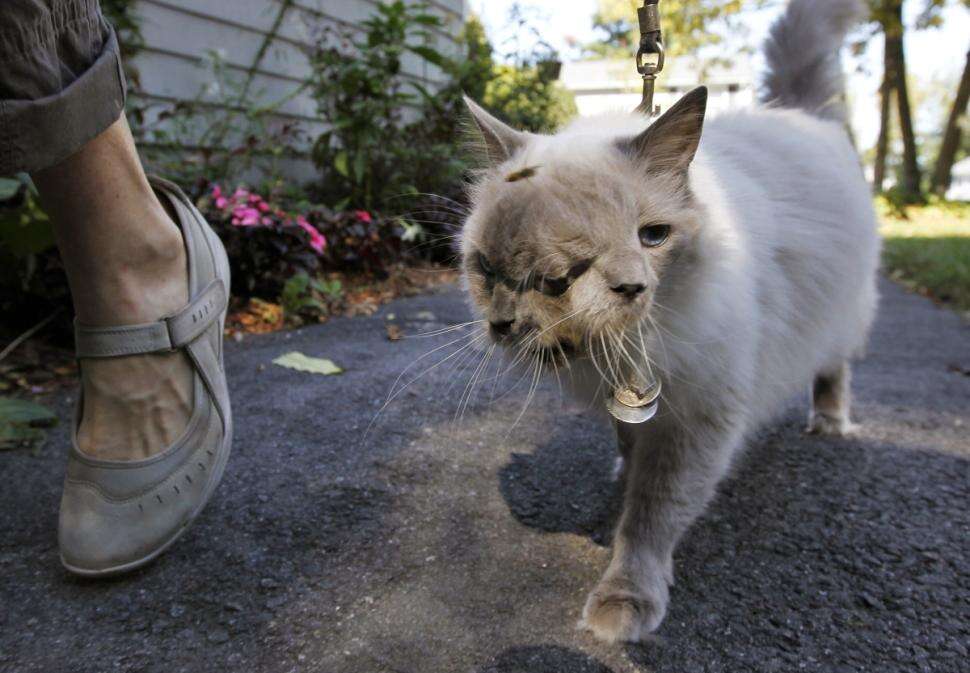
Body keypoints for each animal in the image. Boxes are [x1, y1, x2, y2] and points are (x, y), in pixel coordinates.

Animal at [458, 0, 872, 644]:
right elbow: (628, 443)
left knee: (835, 366)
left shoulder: (698, 419)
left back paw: (829, 422)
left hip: (843, 313)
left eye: (652, 236)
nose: (631, 286)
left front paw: (623, 602)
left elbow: (650, 517)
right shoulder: (636, 400)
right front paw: (621, 468)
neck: (621, 349)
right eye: (543, 270)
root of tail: (798, 112)